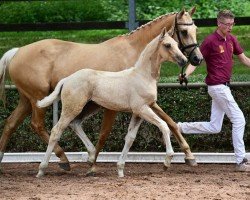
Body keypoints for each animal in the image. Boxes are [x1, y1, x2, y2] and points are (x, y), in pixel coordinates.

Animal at [35, 28, 188, 178]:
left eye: (177, 44)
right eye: (167, 45)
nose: (184, 60)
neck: (143, 76)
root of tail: (67, 79)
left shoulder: (138, 113)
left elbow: (130, 138)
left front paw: (120, 169)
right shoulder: (142, 109)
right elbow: (164, 126)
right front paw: (167, 161)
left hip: (88, 107)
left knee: (75, 124)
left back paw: (91, 157)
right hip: (72, 108)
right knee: (56, 131)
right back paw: (42, 169)